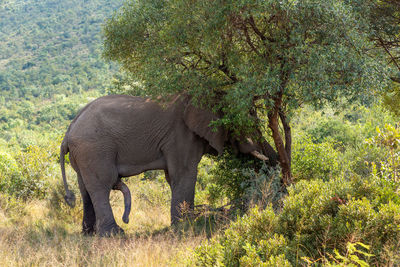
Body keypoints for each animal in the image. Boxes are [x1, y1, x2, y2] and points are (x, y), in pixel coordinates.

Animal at [60, 94, 278, 237]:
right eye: (245, 121)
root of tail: (69, 130)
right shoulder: (181, 135)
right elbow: (183, 174)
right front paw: (186, 226)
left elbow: (173, 177)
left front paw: (184, 223)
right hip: (94, 149)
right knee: (101, 186)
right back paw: (114, 234)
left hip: (84, 154)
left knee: (85, 189)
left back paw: (89, 234)